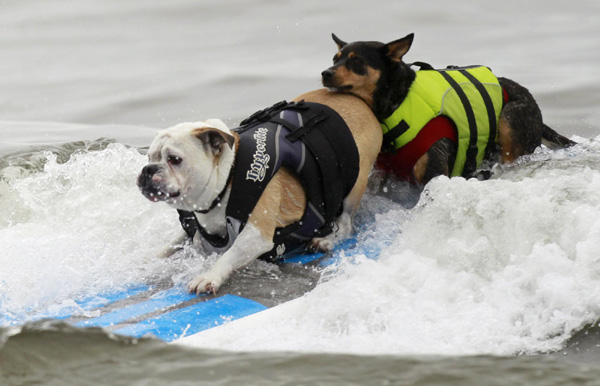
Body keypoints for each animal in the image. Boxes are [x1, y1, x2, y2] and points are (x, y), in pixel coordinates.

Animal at [322, 32, 576, 184]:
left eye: (356, 61)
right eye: (335, 59)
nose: (325, 73)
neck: (398, 101)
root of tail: (533, 103)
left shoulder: (433, 172)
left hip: (510, 123)